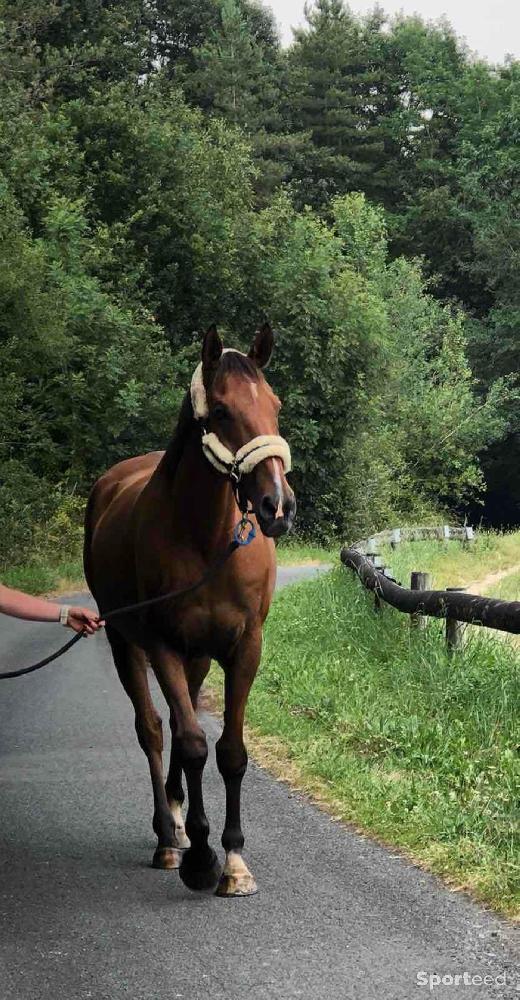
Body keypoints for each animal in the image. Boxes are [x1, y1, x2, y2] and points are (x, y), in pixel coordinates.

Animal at [83, 324, 294, 896]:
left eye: (275, 405)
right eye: (221, 410)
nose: (278, 506)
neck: (208, 541)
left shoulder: (246, 647)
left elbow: (230, 751)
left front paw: (235, 860)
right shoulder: (162, 646)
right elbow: (194, 744)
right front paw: (202, 858)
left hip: (197, 657)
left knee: (181, 728)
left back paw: (178, 820)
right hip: (126, 644)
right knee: (156, 731)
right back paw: (167, 836)